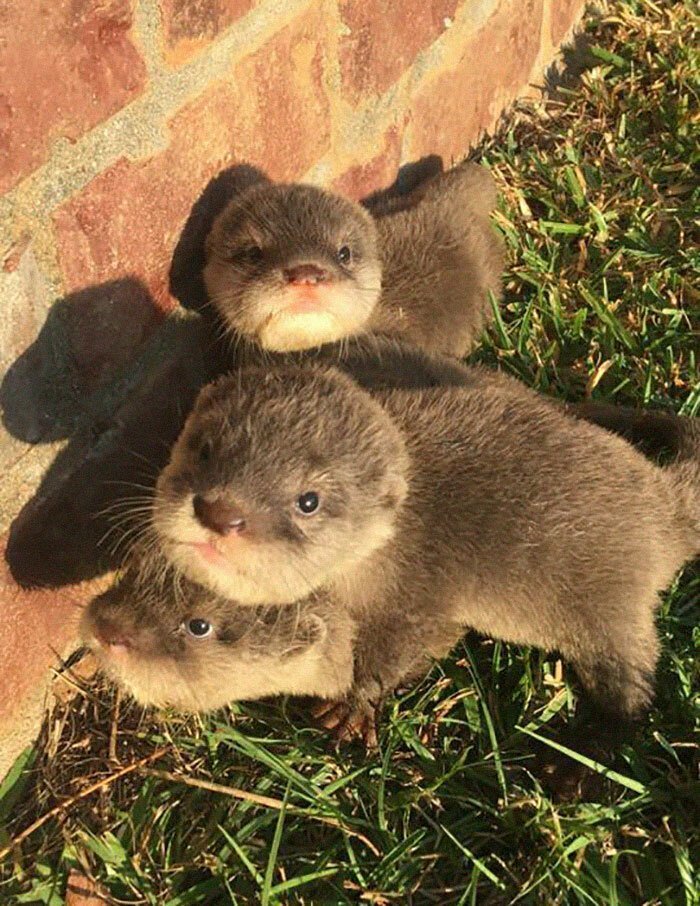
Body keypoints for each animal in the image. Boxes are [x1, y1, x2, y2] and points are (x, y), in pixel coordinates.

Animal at [139, 364, 696, 740]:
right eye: (205, 448)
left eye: (308, 501)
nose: (220, 513)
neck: (392, 541)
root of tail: (666, 507)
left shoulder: (422, 601)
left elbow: (405, 652)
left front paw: (354, 705)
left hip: (609, 607)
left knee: (633, 679)